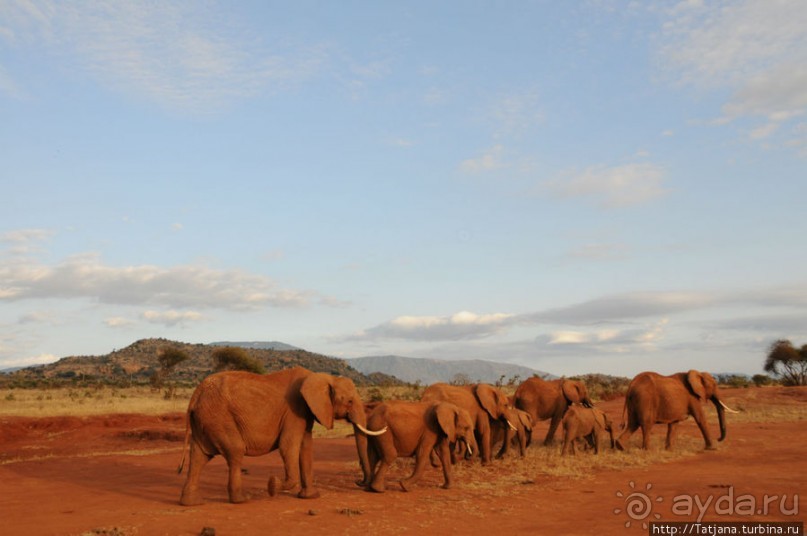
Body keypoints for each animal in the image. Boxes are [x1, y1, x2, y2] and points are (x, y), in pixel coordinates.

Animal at [176, 366, 388, 504]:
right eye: (350, 401)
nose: (359, 482)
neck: (321, 377)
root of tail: (196, 394)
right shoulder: (295, 410)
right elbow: (289, 446)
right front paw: (272, 485)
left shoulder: (305, 412)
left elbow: (305, 448)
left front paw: (311, 497)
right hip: (218, 416)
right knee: (235, 451)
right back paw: (242, 500)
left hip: (205, 418)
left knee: (199, 456)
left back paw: (192, 502)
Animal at [612, 368, 740, 452]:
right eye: (714, 385)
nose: (718, 438)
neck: (697, 373)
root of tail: (631, 384)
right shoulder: (692, 397)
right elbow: (700, 418)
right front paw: (712, 449)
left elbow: (674, 424)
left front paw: (669, 450)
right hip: (645, 399)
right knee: (646, 425)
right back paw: (647, 450)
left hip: (634, 401)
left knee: (632, 424)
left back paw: (621, 447)